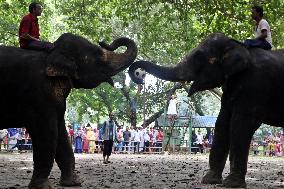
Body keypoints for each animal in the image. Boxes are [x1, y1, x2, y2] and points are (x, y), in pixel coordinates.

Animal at [0, 33, 138, 188]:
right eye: (98, 54)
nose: (103, 41)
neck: (52, 52)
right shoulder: (38, 95)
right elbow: (47, 134)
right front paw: (42, 187)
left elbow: (61, 134)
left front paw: (73, 183)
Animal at [128, 32, 284, 188]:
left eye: (198, 56)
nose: (140, 76)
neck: (237, 45)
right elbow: (222, 123)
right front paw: (209, 180)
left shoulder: (256, 86)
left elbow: (240, 124)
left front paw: (232, 183)